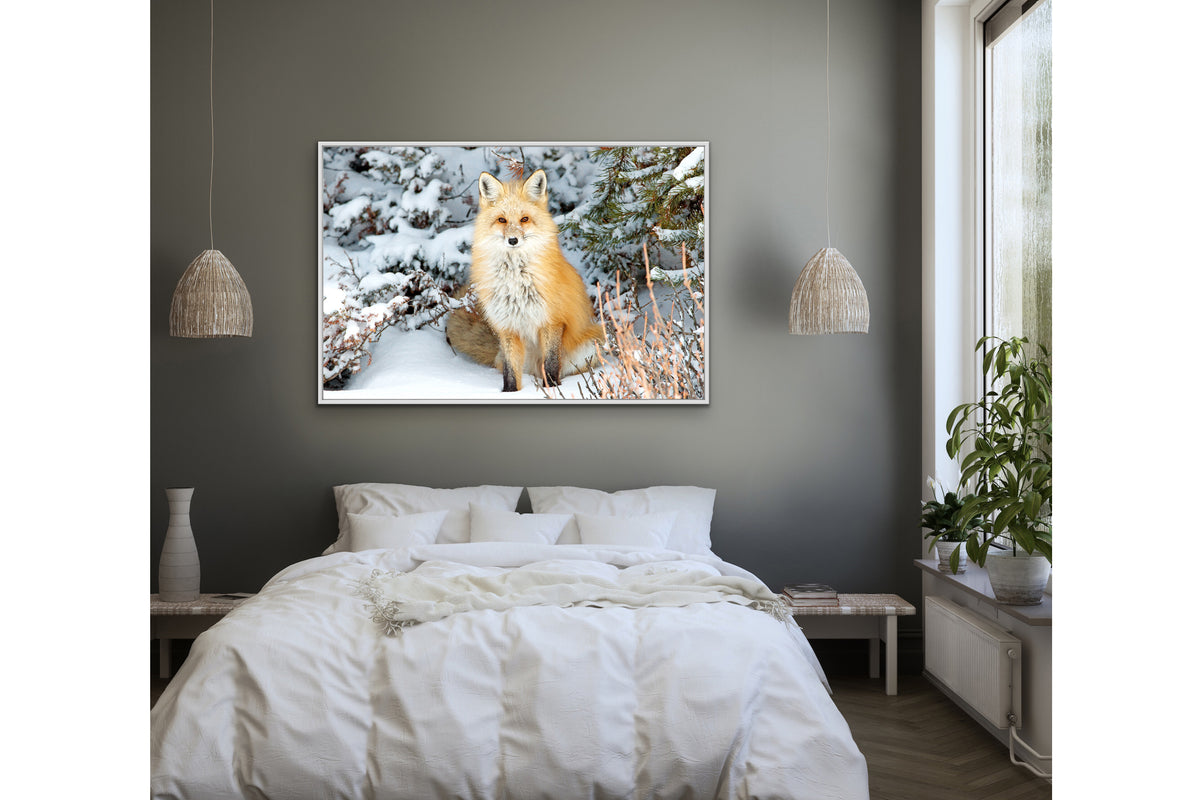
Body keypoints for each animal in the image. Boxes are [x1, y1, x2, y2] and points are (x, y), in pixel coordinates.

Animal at [446, 169, 604, 392]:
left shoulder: (552, 321)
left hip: (591, 345)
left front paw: (553, 390)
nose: (513, 240)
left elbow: (551, 364)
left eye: (524, 219)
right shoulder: (507, 327)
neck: (516, 279)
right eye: (502, 220)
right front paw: (510, 393)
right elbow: (511, 372)